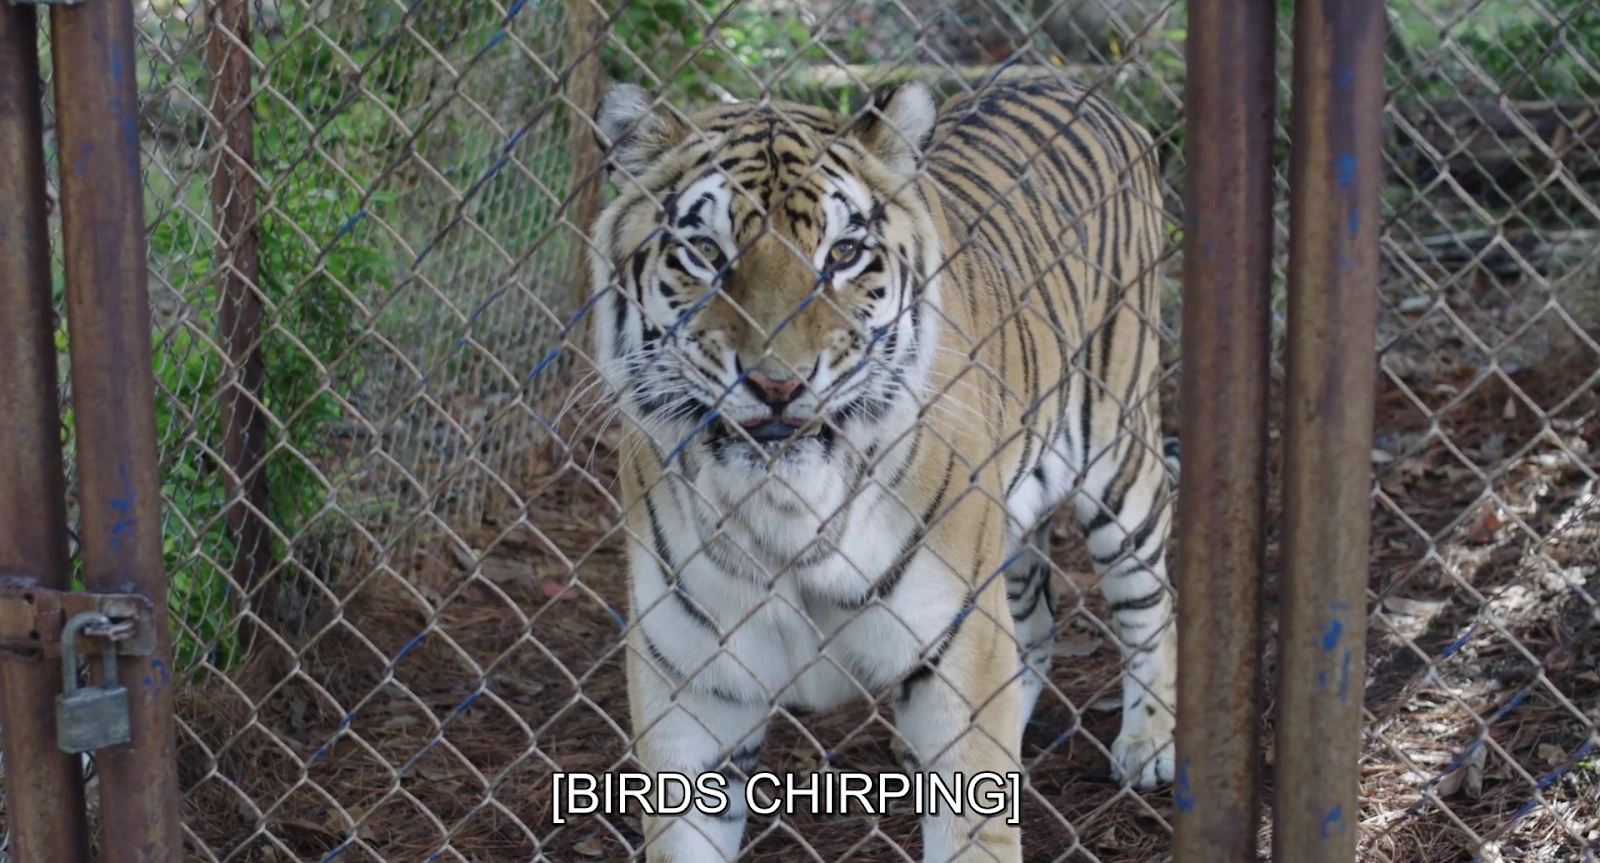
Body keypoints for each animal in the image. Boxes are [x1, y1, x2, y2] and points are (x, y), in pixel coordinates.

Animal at [585, 73, 1178, 863]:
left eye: (842, 254)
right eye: (706, 251)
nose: (777, 384)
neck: (787, 509)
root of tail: (1067, 78)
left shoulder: (958, 651)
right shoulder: (692, 680)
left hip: (1119, 462)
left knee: (1151, 603)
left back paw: (1150, 744)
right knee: (1036, 619)